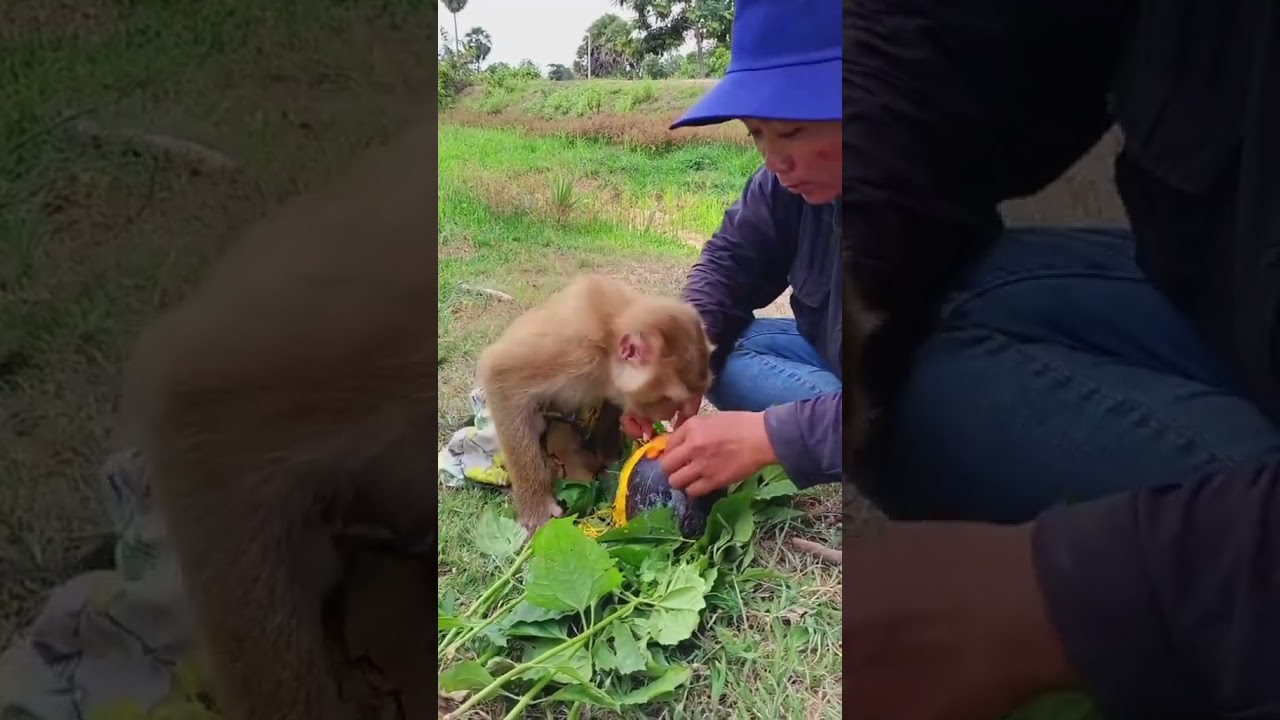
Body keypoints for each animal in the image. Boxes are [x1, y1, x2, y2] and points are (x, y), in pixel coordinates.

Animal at [475, 274, 713, 537]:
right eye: (669, 400)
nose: (674, 413)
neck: (608, 339)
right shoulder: (574, 350)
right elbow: (501, 375)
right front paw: (536, 508)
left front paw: (608, 451)